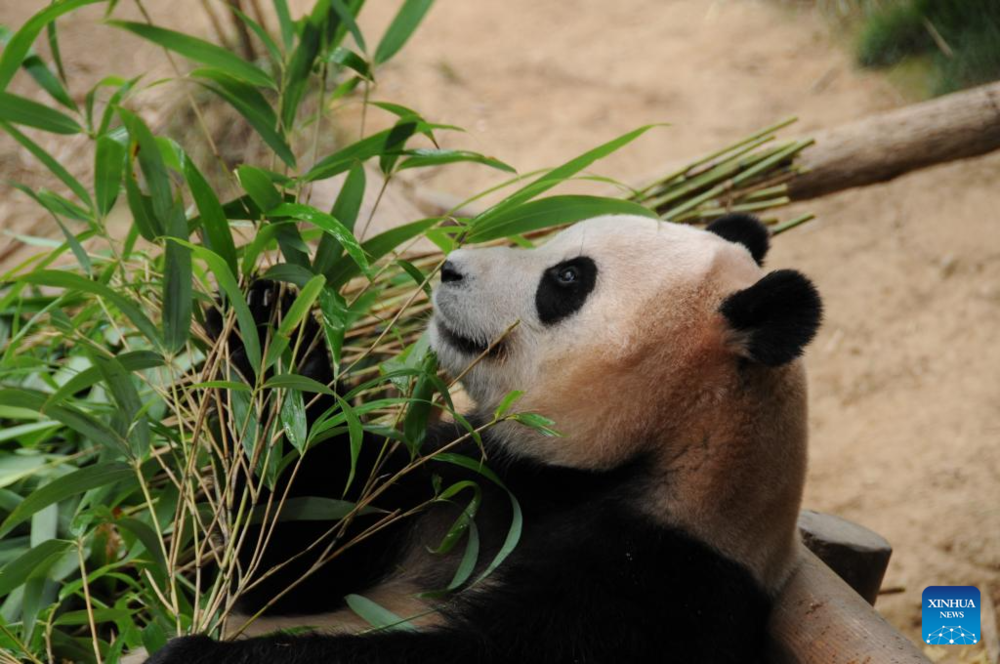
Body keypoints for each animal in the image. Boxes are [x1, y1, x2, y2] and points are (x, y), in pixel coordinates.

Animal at [146, 213, 820, 664]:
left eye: (566, 278)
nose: (451, 267)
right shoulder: (477, 475)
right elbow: (294, 560)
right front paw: (267, 331)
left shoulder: (660, 582)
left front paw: (194, 655)